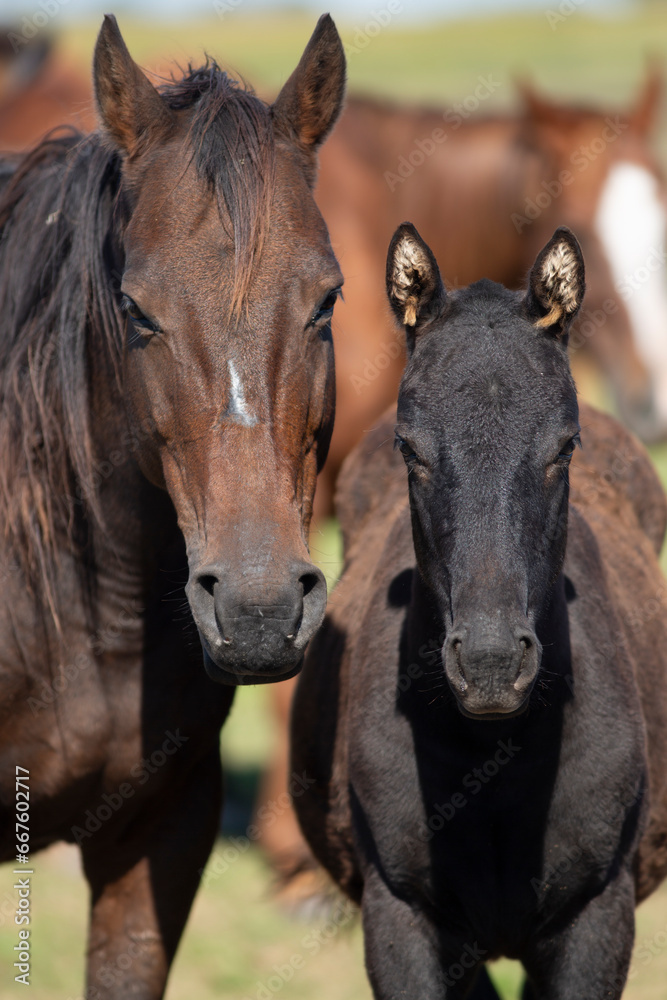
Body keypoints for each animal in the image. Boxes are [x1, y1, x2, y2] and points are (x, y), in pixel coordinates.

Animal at [290, 227, 667, 1000]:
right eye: (409, 448)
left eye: (564, 446)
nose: (491, 666)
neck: (491, 756)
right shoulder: (400, 918)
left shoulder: (597, 915)